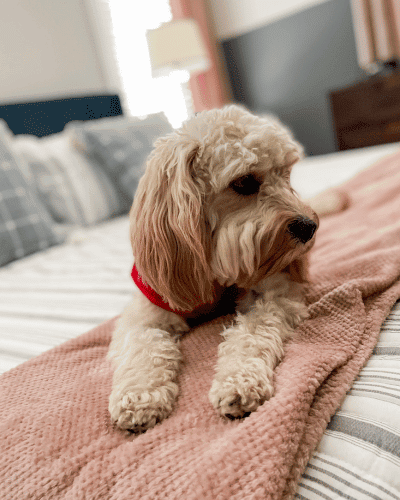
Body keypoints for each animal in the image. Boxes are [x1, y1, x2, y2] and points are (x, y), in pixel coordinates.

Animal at [107, 104, 318, 430]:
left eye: (286, 174)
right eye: (244, 183)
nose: (309, 226)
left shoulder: (273, 293)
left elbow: (253, 332)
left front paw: (240, 381)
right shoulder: (145, 311)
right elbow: (143, 347)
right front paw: (140, 394)